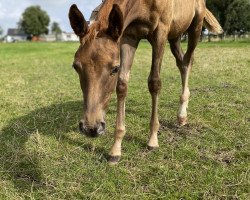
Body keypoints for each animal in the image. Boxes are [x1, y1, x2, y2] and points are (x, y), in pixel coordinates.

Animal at [68, 0, 223, 162]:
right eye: (76, 66)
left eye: (115, 68)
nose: (91, 128)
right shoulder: (128, 36)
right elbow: (122, 85)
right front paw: (116, 149)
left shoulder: (160, 32)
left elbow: (154, 82)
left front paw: (153, 140)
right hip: (175, 35)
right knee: (181, 62)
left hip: (195, 27)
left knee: (188, 61)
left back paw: (182, 115)